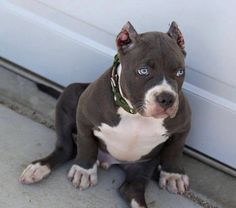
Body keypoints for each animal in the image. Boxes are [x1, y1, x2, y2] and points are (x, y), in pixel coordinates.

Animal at [19, 21, 191, 208]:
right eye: (143, 71)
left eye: (180, 72)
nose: (167, 99)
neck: (136, 114)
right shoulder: (84, 115)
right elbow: (87, 144)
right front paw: (85, 170)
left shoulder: (184, 125)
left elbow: (175, 149)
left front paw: (173, 174)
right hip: (70, 93)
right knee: (67, 148)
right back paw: (39, 167)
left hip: (142, 166)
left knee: (130, 190)